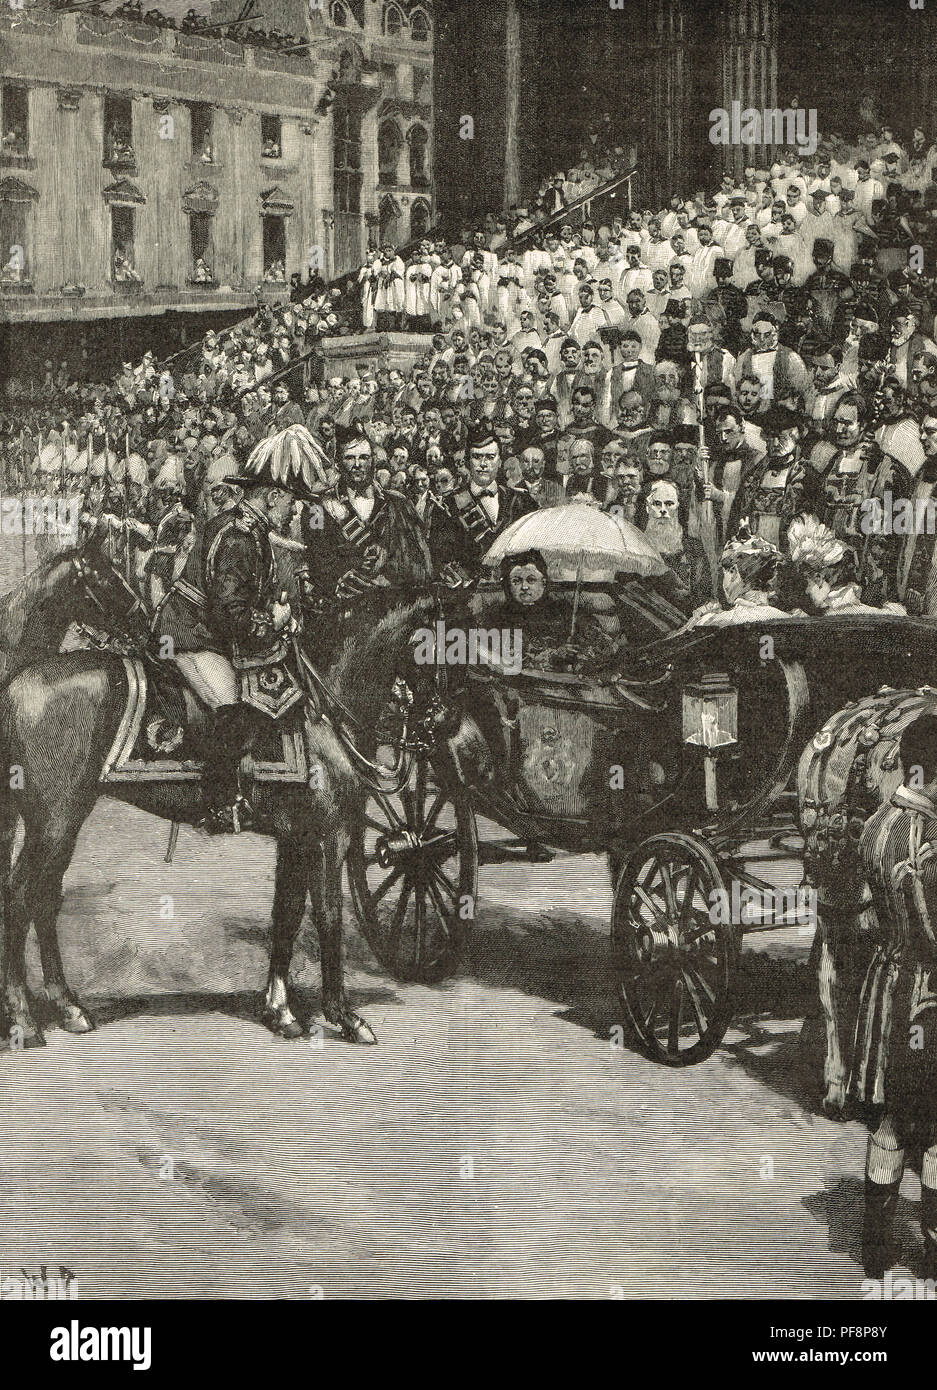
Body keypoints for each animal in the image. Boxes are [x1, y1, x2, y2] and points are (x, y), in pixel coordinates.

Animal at [0, 589, 433, 1050]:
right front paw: (345, 1017)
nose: (435, 727)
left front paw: (280, 1011)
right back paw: (24, 1019)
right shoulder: (327, 838)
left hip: (65, 820)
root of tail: (14, 686)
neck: (318, 711)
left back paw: (68, 1008)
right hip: (54, 820)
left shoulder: (296, 839)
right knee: (19, 896)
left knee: (44, 899)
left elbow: (287, 915)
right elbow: (329, 918)